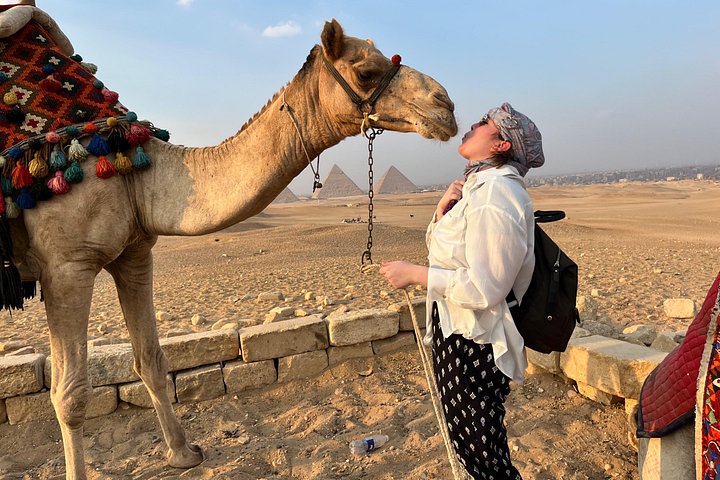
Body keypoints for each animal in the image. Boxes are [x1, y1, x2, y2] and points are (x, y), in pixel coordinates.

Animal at [0, 6, 457, 479]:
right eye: (366, 71)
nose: (445, 104)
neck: (135, 172)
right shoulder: (66, 266)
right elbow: (70, 394)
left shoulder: (135, 254)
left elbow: (151, 360)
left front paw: (184, 454)